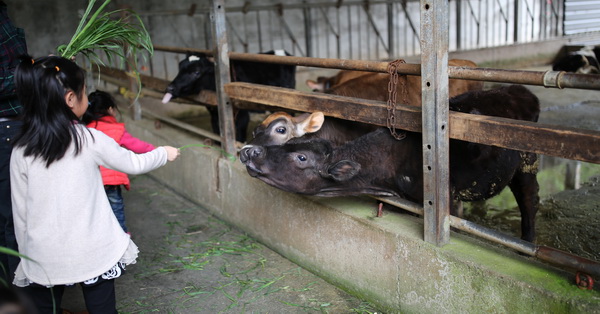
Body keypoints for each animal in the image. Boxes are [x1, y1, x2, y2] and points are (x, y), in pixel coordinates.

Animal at [163, 50, 296, 142]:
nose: (170, 88)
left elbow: (240, 137)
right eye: (180, 67)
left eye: (196, 72)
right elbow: (217, 133)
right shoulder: (214, 115)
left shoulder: (242, 114)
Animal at [241, 84, 540, 242]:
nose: (249, 151)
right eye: (289, 144)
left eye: (301, 157)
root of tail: (517, 88)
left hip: (528, 165)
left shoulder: (447, 199)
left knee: (529, 202)